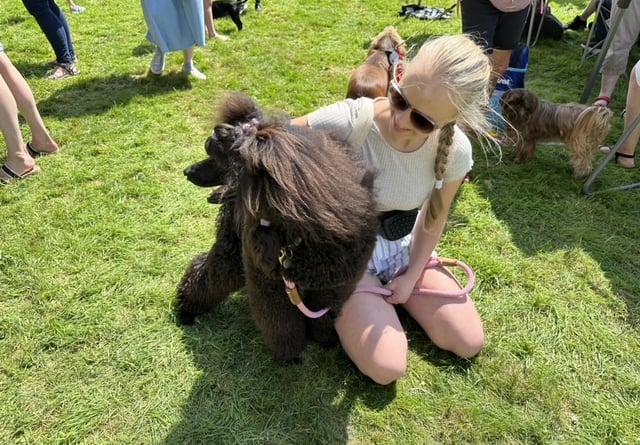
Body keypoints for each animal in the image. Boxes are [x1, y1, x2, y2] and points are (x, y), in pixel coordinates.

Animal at [179, 91, 380, 360]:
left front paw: (324, 339)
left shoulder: (335, 286)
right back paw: (186, 309)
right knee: (209, 273)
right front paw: (289, 355)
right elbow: (282, 324)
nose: (187, 171)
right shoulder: (269, 282)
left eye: (221, 156)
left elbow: (323, 317)